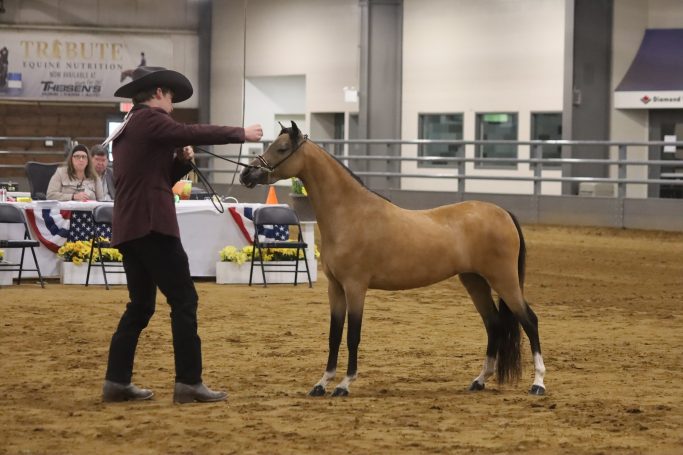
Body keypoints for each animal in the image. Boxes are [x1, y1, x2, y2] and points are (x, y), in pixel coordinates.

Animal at [240, 122, 546, 397]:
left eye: (281, 148)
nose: (246, 174)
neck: (350, 213)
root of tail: (502, 212)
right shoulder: (335, 288)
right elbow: (334, 335)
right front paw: (322, 383)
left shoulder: (355, 287)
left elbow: (352, 335)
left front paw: (344, 384)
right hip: (475, 281)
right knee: (493, 324)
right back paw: (480, 380)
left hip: (503, 280)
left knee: (529, 320)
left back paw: (538, 383)